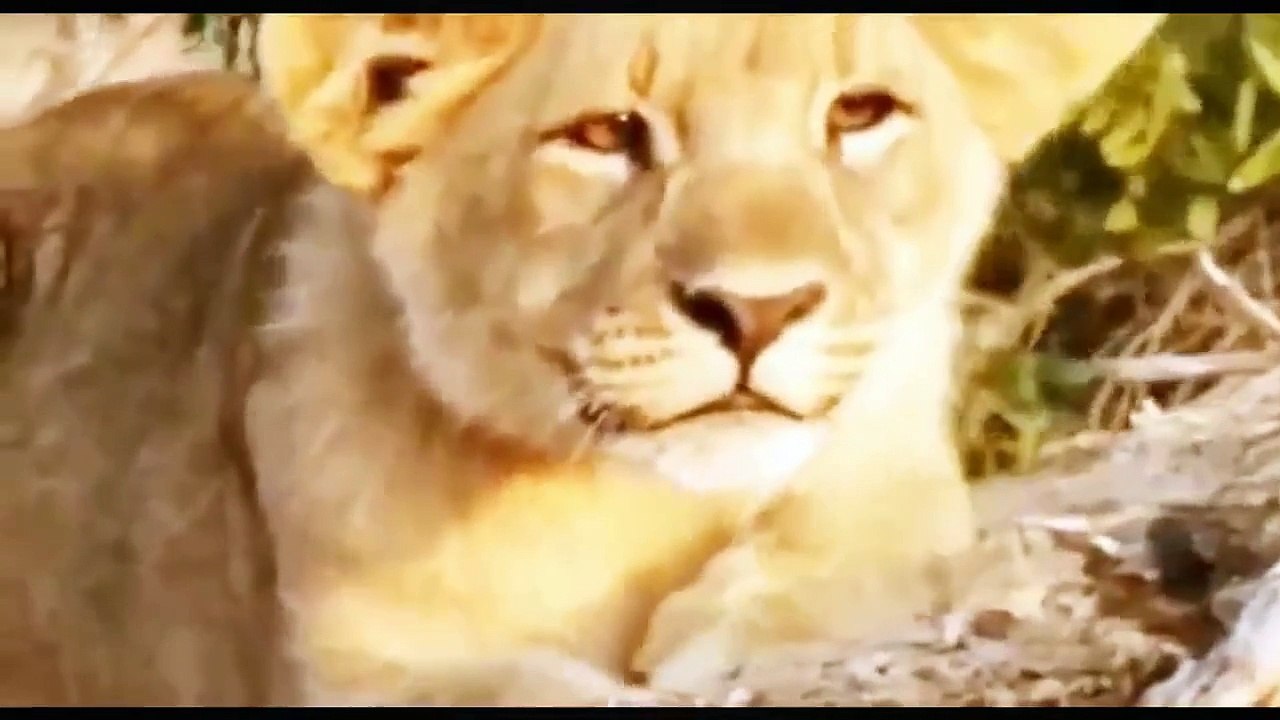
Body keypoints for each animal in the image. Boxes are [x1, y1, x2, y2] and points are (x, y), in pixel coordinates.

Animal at [0, 14, 1162, 706]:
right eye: (604, 135)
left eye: (860, 114)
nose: (757, 309)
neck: (635, 509)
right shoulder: (343, 670)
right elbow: (515, 687)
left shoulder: (896, 485)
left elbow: (875, 560)